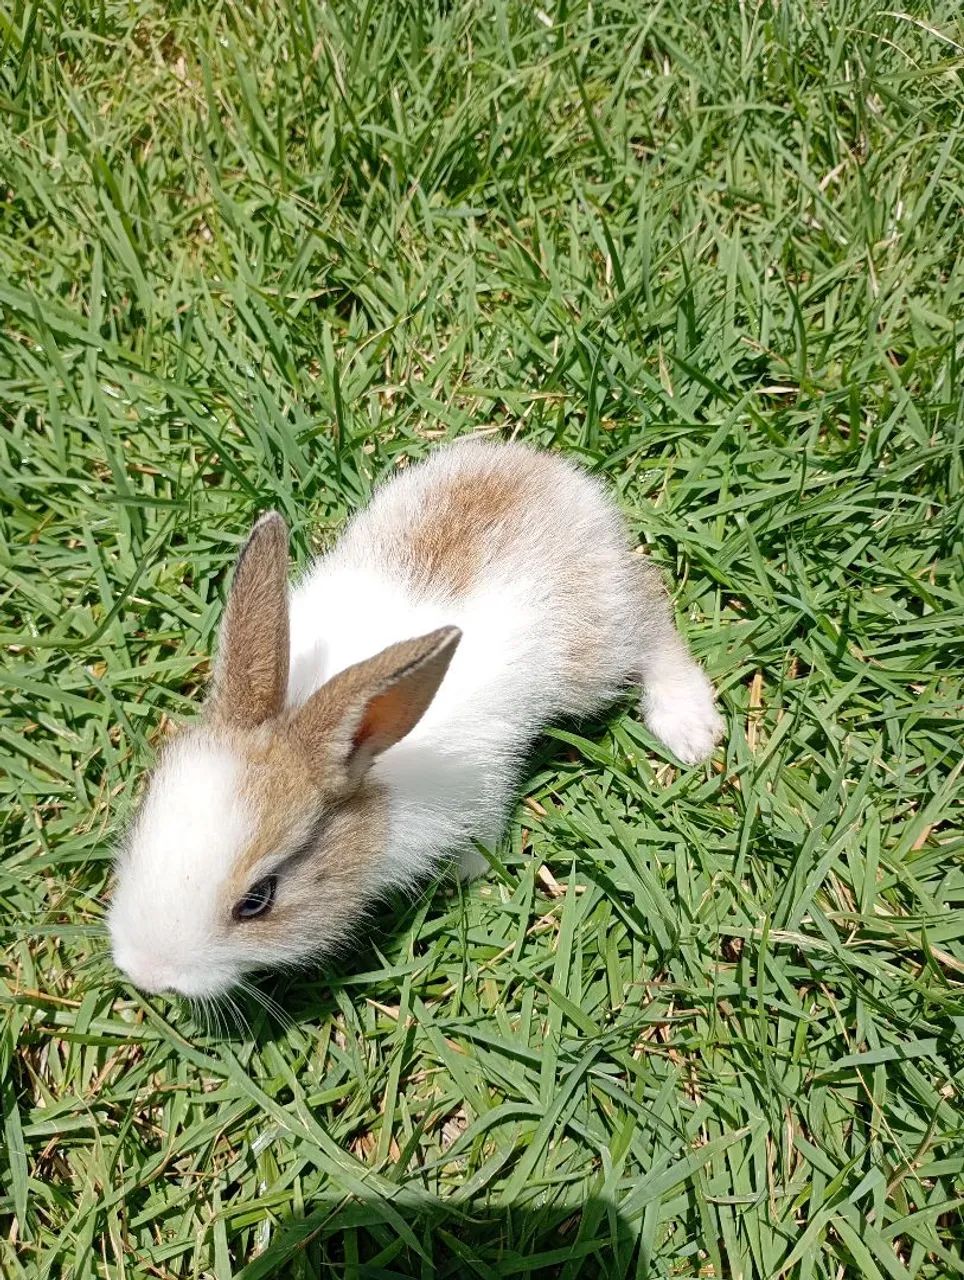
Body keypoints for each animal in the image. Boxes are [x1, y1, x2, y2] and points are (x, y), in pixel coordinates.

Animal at [108, 439, 724, 999]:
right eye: (143, 815)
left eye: (257, 901)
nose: (147, 975)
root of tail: (561, 481)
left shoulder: (482, 783)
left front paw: (464, 874)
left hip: (595, 656)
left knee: (652, 624)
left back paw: (690, 728)